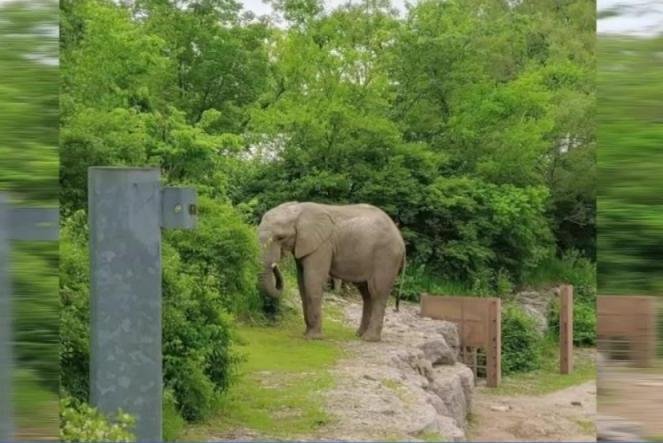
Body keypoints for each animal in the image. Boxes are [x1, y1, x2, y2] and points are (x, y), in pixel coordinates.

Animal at [258, 202, 404, 344]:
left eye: (280, 237)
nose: (275, 265)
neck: (298, 209)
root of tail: (400, 237)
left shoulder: (322, 246)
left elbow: (312, 281)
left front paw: (314, 338)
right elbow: (302, 284)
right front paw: (306, 333)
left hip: (386, 257)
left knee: (377, 292)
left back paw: (369, 339)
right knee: (366, 294)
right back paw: (360, 335)